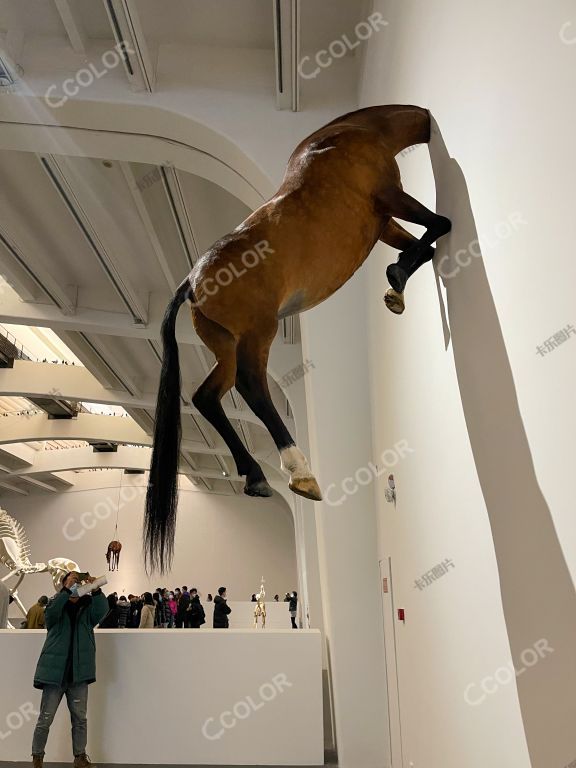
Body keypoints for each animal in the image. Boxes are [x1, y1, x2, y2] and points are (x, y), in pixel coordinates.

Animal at [144, 103, 450, 568]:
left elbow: (427, 245)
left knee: (207, 396)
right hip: (259, 334)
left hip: (225, 345)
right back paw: (301, 474)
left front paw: (395, 291)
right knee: (251, 387)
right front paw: (395, 276)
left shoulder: (382, 222)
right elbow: (440, 225)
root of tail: (192, 281)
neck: (349, 135)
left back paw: (256, 477)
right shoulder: (391, 199)